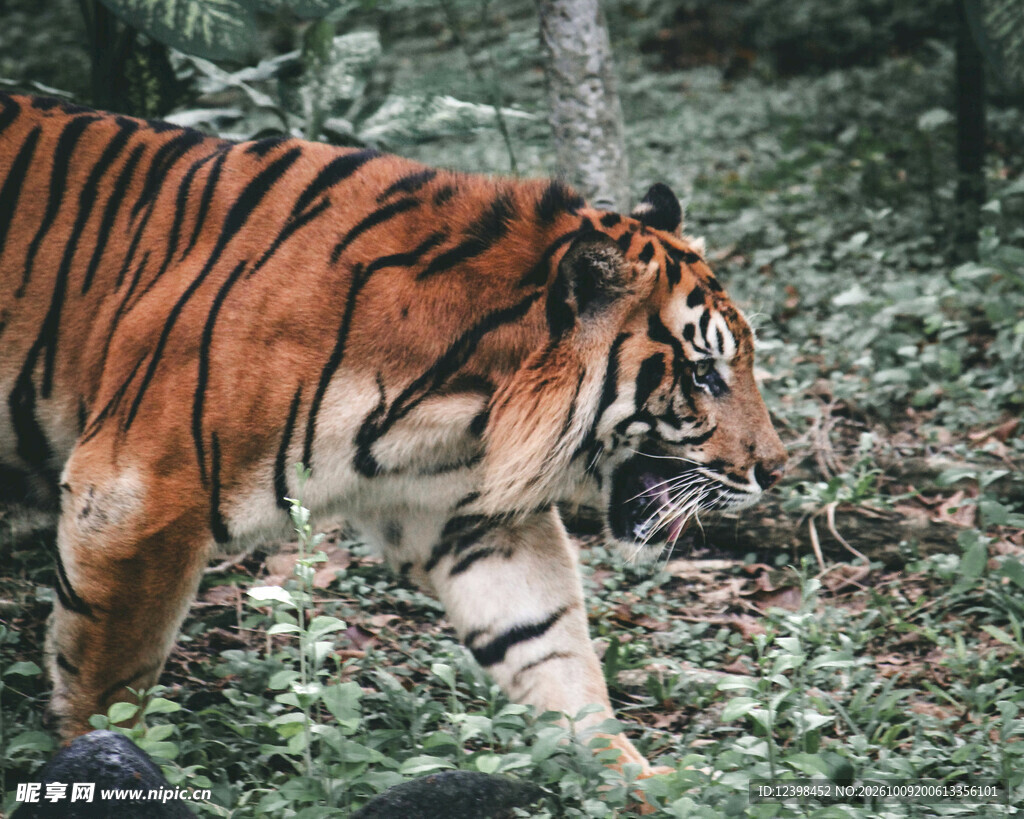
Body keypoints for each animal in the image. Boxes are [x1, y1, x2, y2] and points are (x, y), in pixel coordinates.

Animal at [0, 91, 786, 773]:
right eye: (705, 374)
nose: (776, 470)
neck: (461, 400)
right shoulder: (136, 497)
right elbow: (109, 679)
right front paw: (101, 757)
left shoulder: (468, 518)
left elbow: (548, 645)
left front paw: (637, 779)